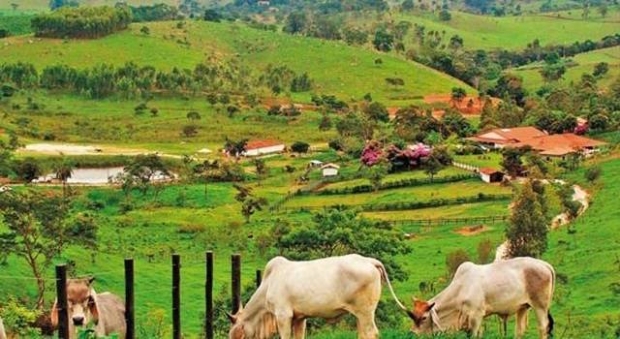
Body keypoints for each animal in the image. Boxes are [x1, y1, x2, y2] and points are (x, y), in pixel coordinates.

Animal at [228, 255, 412, 339]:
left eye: (236, 335)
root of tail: (369, 260)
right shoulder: (299, 318)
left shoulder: (283, 316)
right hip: (361, 315)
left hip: (366, 312)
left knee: (371, 333)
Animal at [410, 258, 556, 339]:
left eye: (424, 318)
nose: (412, 334)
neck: (461, 288)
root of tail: (545, 265)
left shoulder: (476, 316)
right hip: (523, 307)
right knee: (519, 330)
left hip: (540, 306)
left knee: (543, 328)